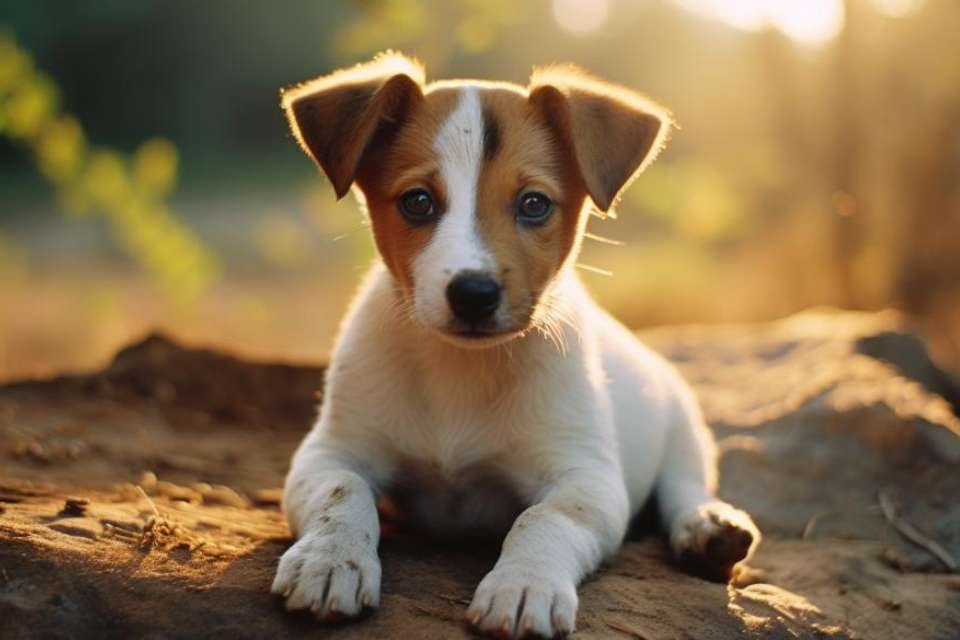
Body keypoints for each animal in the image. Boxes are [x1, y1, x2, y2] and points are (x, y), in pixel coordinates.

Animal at [270, 52, 756, 636]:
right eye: (417, 202)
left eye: (534, 204)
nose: (474, 293)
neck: (461, 368)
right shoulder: (331, 451)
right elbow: (345, 494)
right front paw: (329, 560)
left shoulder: (586, 479)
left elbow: (540, 519)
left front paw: (524, 586)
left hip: (684, 423)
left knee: (685, 484)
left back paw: (708, 528)